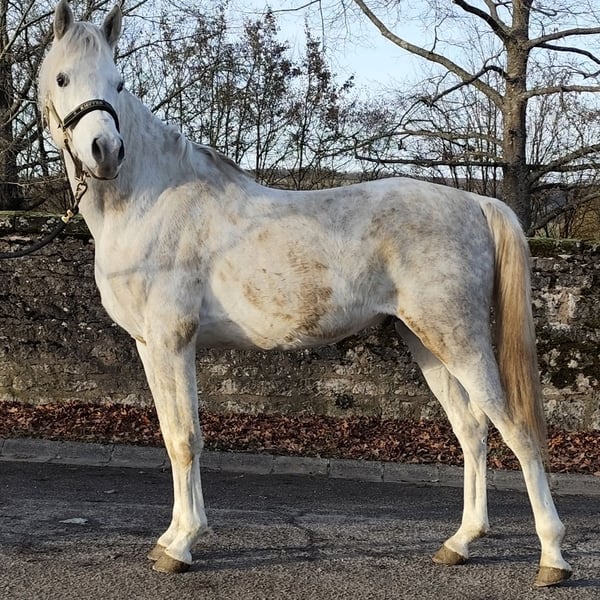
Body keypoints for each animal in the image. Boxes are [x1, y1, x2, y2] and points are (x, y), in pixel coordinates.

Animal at [37, 0, 571, 587]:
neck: (149, 200)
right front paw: (173, 537)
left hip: (460, 338)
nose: (105, 151)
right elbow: (173, 436)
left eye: (118, 82)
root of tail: (476, 202)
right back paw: (461, 542)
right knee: (472, 430)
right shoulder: (149, 345)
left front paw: (181, 545)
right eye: (63, 78)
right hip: (425, 341)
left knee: (516, 430)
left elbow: (185, 438)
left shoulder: (174, 340)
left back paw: (552, 557)